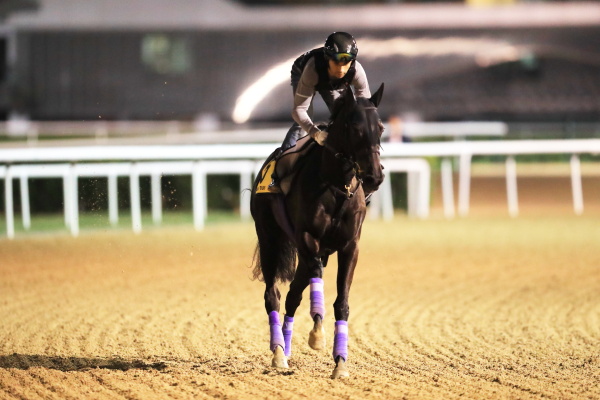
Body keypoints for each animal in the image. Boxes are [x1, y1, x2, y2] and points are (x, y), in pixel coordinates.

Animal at [248, 82, 384, 378]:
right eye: (354, 126)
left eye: (380, 127)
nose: (374, 176)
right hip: (269, 239)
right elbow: (317, 281)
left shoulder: (349, 246)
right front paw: (317, 335)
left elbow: (342, 302)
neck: (336, 186)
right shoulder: (309, 239)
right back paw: (278, 353)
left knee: (292, 296)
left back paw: (286, 350)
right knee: (273, 296)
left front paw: (340, 363)